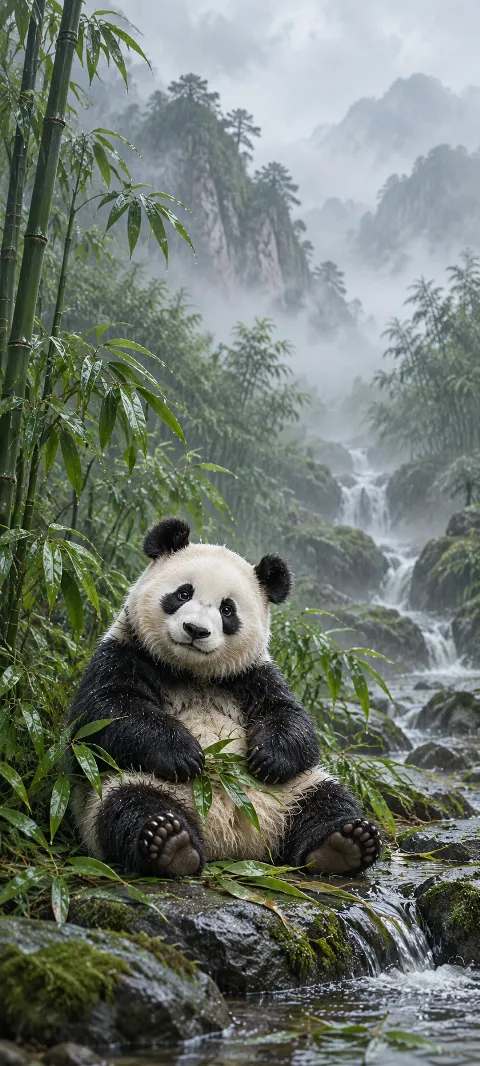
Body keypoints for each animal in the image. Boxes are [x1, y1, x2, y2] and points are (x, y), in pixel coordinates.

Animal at [68, 517, 381, 879]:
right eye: (183, 593)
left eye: (227, 609)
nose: (195, 630)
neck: (192, 672)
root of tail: (233, 843)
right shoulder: (124, 653)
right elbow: (106, 713)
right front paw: (185, 754)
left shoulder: (251, 676)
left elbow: (291, 719)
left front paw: (269, 758)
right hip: (120, 788)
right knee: (127, 806)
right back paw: (170, 844)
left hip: (294, 791)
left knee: (329, 800)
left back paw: (344, 844)